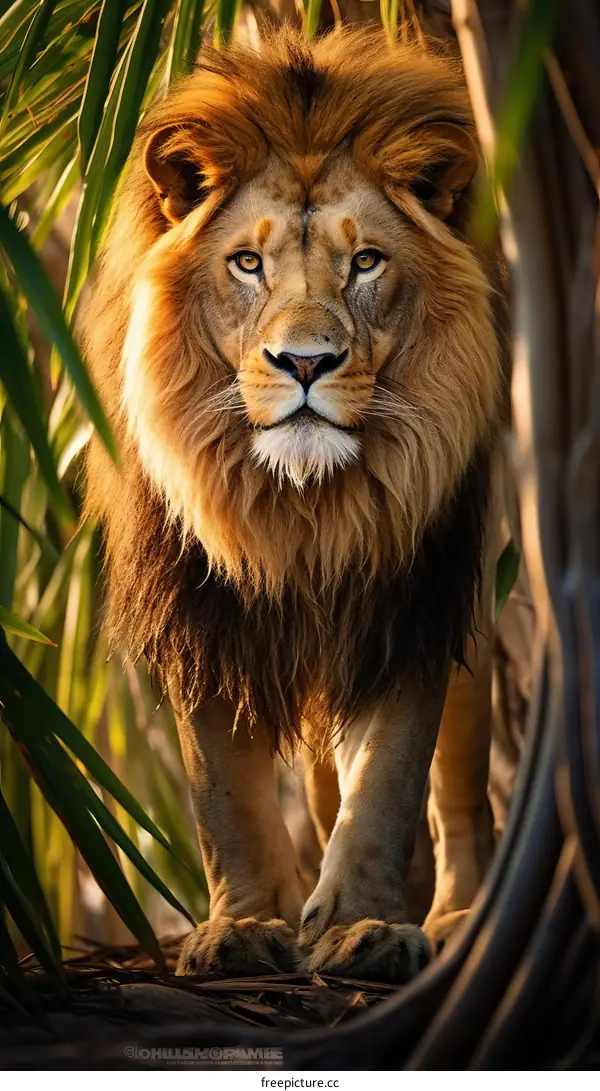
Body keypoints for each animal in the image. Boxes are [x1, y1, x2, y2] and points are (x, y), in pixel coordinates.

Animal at [82, 27, 507, 984]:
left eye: (365, 262)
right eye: (248, 263)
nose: (305, 362)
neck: (300, 508)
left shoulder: (410, 595)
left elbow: (389, 777)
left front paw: (365, 927)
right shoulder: (197, 605)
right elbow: (225, 794)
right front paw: (247, 927)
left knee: (460, 786)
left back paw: (462, 913)